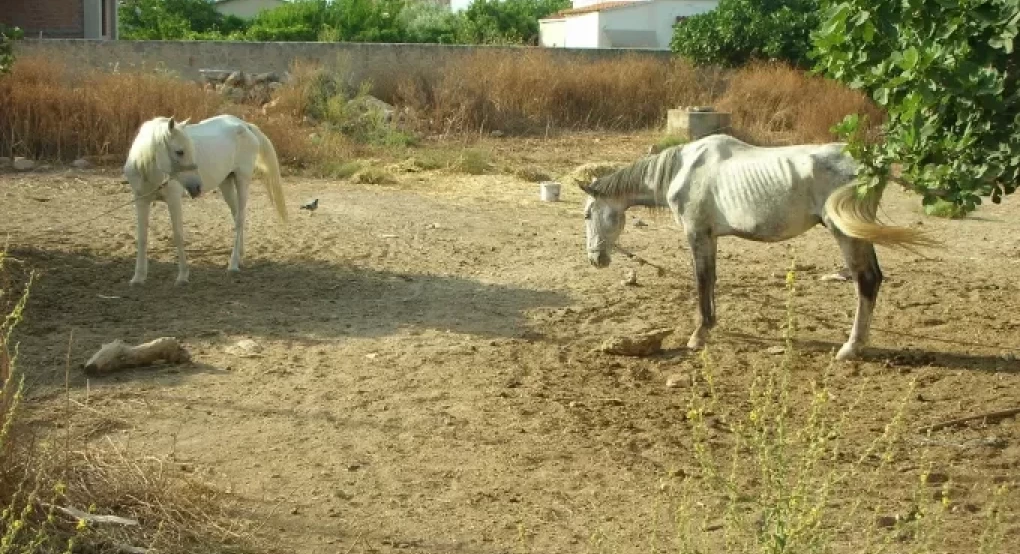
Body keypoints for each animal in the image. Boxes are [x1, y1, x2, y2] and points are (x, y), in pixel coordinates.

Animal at [126, 113, 289, 285]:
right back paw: (240, 255)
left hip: (242, 180)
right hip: (226, 183)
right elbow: (142, 237)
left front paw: (183, 276)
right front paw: (138, 277)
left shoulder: (173, 200)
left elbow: (178, 235)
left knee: (240, 219)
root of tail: (244, 125)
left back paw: (233, 264)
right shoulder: (141, 201)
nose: (196, 187)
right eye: (179, 151)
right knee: (236, 215)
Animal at [583, 132, 938, 361]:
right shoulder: (710, 237)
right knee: (873, 279)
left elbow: (701, 281)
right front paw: (710, 326)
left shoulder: (697, 234)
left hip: (845, 233)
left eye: (587, 214)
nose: (595, 259)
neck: (682, 170)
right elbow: (712, 281)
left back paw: (850, 349)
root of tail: (870, 163)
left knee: (866, 281)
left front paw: (698, 336)